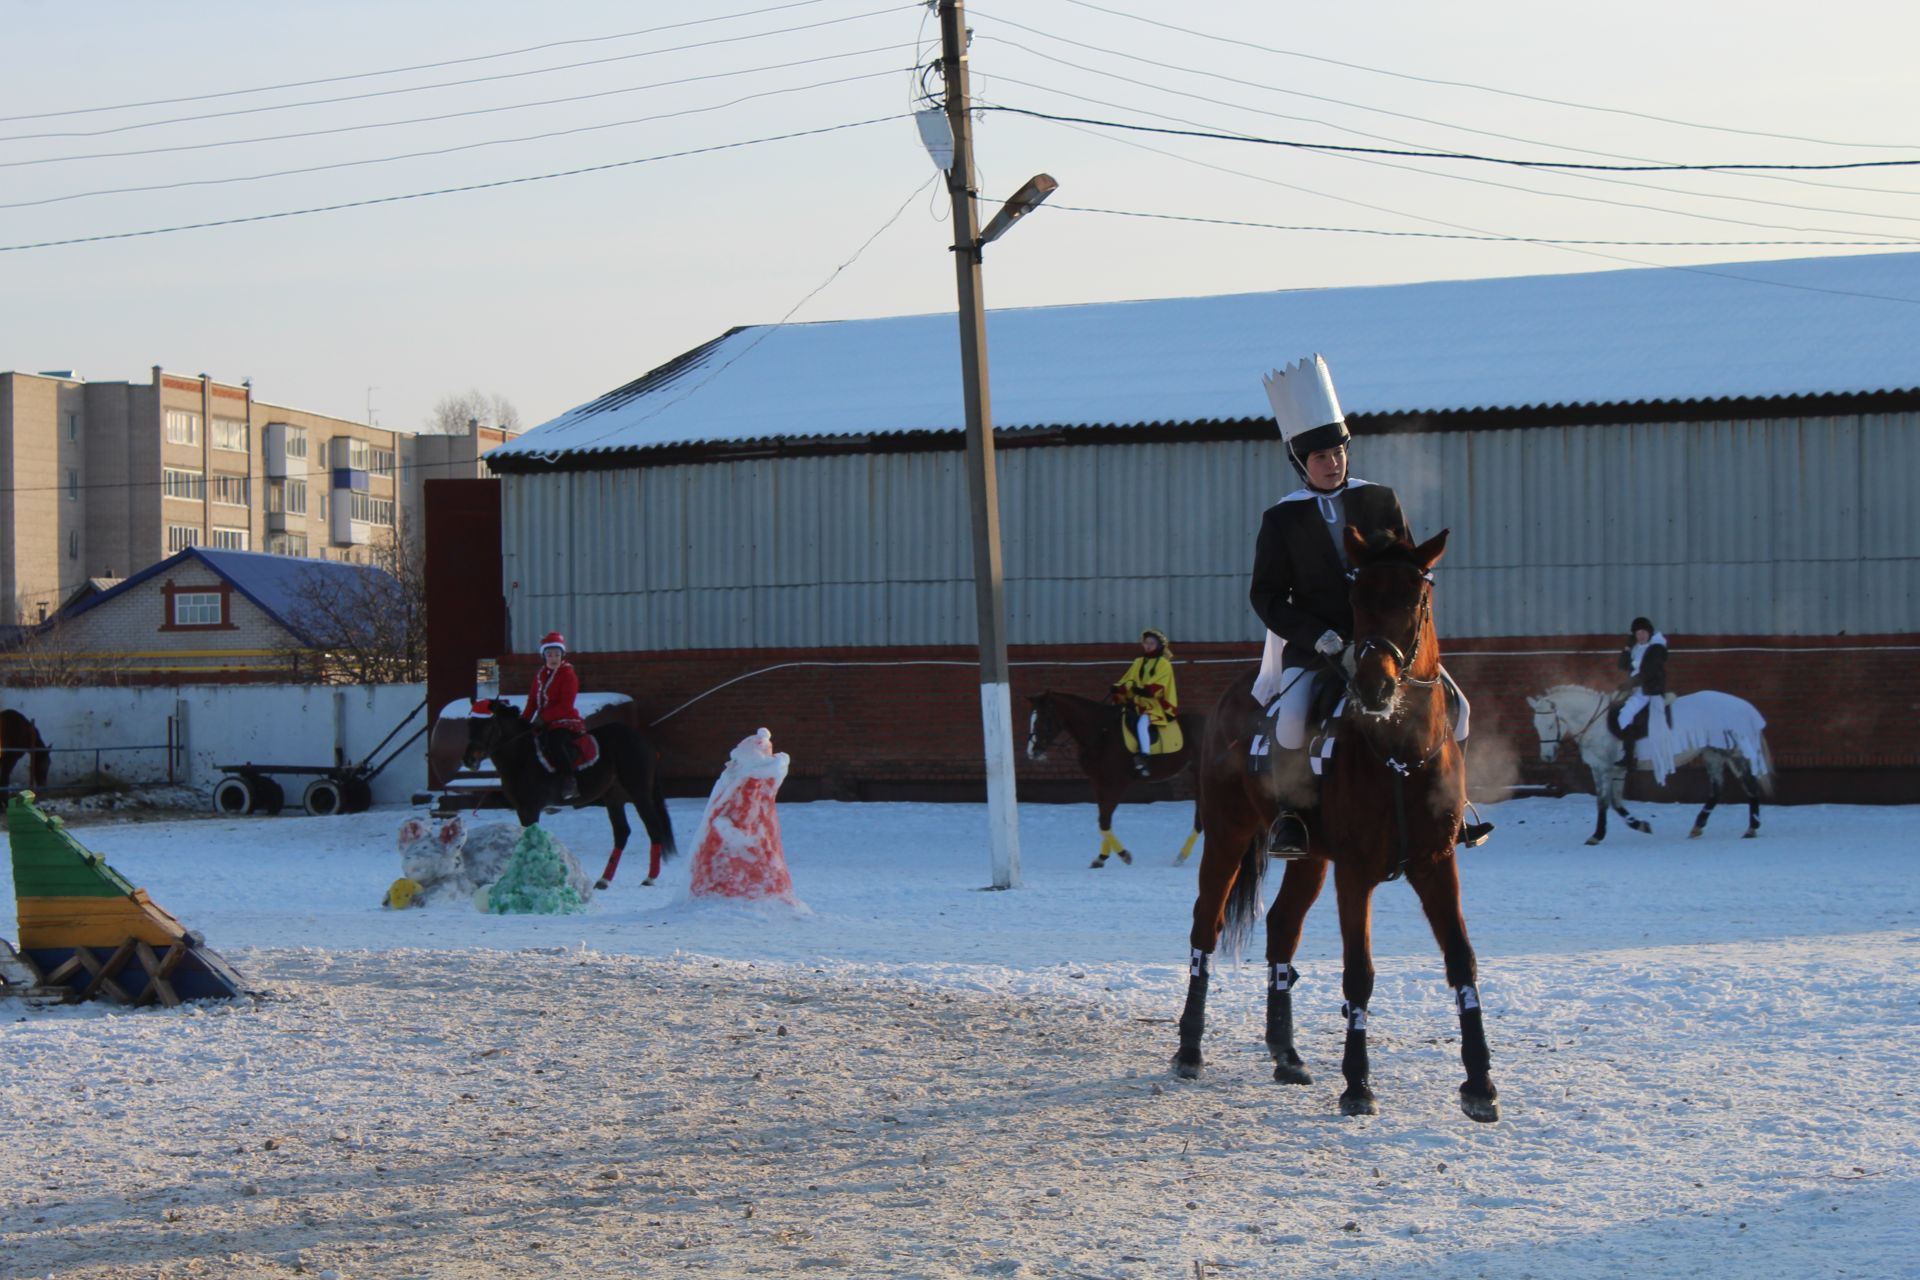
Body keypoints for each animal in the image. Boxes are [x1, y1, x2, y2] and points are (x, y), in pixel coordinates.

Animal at [460, 702, 679, 890]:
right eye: (470, 724)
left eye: (488, 725)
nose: (469, 759)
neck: (522, 756)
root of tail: (644, 742)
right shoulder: (522, 809)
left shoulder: (531, 808)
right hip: (614, 797)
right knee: (622, 832)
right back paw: (604, 880)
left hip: (639, 793)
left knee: (653, 826)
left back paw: (650, 877)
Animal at [1021, 690, 1198, 871]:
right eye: (1031, 719)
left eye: (1045, 719)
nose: (1032, 752)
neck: (1101, 733)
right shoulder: (1099, 783)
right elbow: (1104, 819)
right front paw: (1101, 858)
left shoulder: (1117, 783)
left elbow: (1104, 821)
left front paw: (1124, 855)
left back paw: (1181, 856)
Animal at [1167, 529, 1497, 1120]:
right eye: (1357, 599)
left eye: (1415, 600)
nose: (1373, 688)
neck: (1398, 752)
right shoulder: (1356, 873)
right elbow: (1358, 972)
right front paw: (1357, 1084)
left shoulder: (1436, 864)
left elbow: (1462, 961)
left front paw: (1480, 1084)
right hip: (1227, 837)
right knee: (1206, 926)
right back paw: (1189, 1050)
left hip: (1312, 857)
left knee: (1281, 928)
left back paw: (1286, 1054)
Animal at [1520, 687, 1774, 844]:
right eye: (1535, 725)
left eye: (1551, 725)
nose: (1547, 757)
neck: (1598, 723)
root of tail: (1741, 705)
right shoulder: (1614, 770)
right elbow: (1615, 802)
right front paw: (1641, 825)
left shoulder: (1603, 767)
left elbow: (1603, 802)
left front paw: (1597, 835)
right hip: (1713, 753)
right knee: (1717, 789)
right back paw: (1698, 826)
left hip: (1733, 752)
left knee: (1749, 785)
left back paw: (1751, 828)